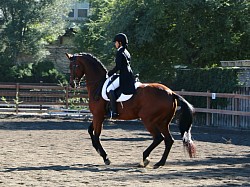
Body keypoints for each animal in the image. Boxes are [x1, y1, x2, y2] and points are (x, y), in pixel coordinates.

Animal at [65, 52, 196, 168]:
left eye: (74, 66)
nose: (72, 84)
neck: (98, 84)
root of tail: (171, 93)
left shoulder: (98, 115)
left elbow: (96, 136)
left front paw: (106, 157)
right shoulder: (98, 116)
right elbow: (90, 132)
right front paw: (100, 153)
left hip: (148, 120)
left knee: (159, 138)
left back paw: (145, 158)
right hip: (163, 122)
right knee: (169, 140)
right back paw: (160, 162)